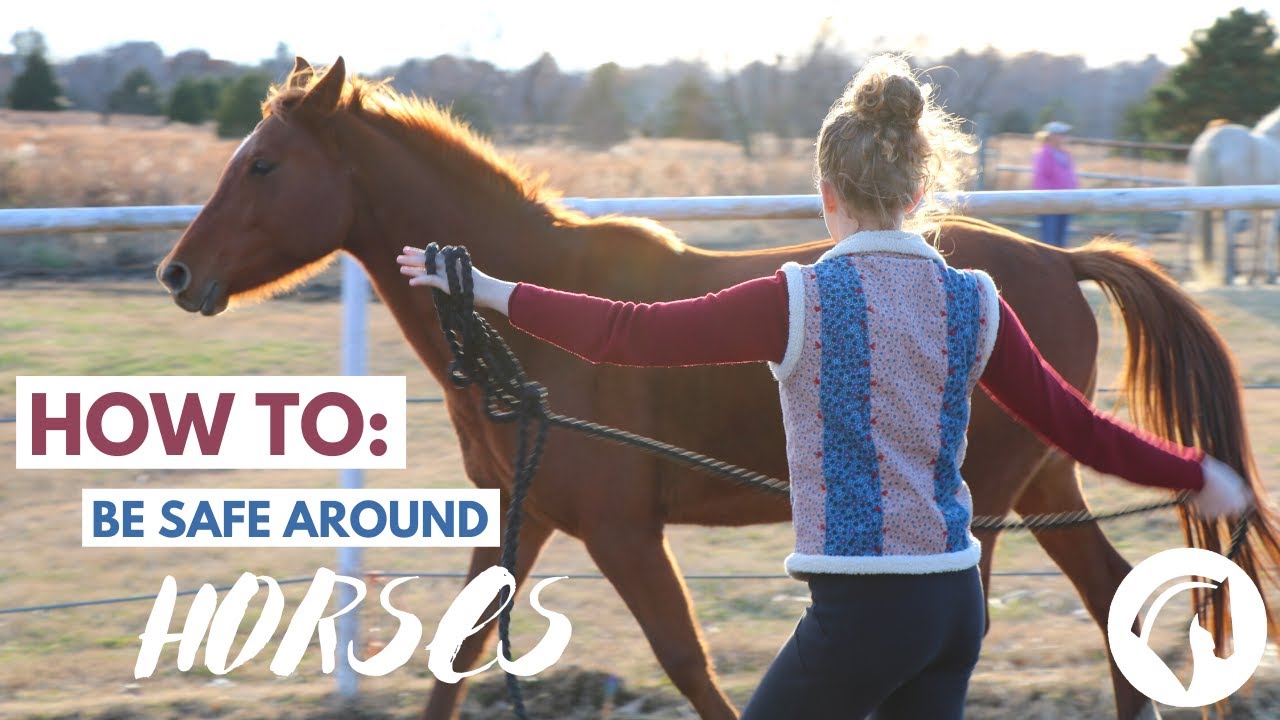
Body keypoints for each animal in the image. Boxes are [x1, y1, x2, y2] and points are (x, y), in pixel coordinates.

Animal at [1187, 106, 1280, 285]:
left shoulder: (1258, 206)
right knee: (1230, 228)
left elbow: (1256, 238)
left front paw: (1253, 277)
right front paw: (1269, 275)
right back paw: (1229, 275)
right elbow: (1270, 236)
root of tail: (1213, 142)